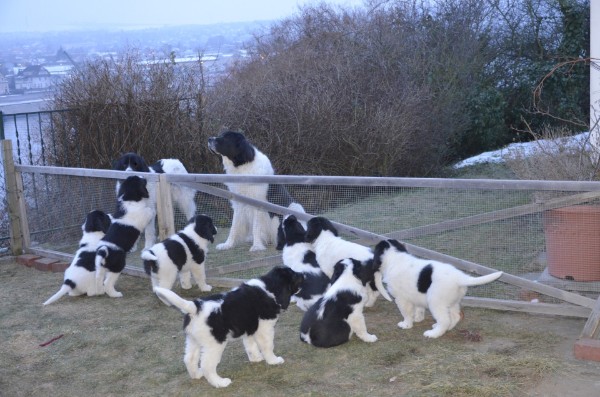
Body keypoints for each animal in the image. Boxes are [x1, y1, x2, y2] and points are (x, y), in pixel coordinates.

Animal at [154, 266, 302, 386]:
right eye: (294, 276)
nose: (303, 275)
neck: (269, 287)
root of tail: (196, 307)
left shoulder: (250, 327)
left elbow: (250, 345)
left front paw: (256, 358)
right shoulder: (264, 328)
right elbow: (267, 346)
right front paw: (273, 361)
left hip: (193, 340)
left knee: (189, 359)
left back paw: (196, 375)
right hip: (214, 344)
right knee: (207, 365)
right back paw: (220, 382)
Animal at [372, 238, 504, 338]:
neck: (396, 257)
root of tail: (460, 277)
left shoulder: (401, 299)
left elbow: (406, 313)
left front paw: (406, 324)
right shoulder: (416, 295)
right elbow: (419, 308)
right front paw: (418, 318)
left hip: (435, 302)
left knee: (445, 320)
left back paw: (433, 334)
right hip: (452, 301)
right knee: (455, 317)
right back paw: (445, 328)